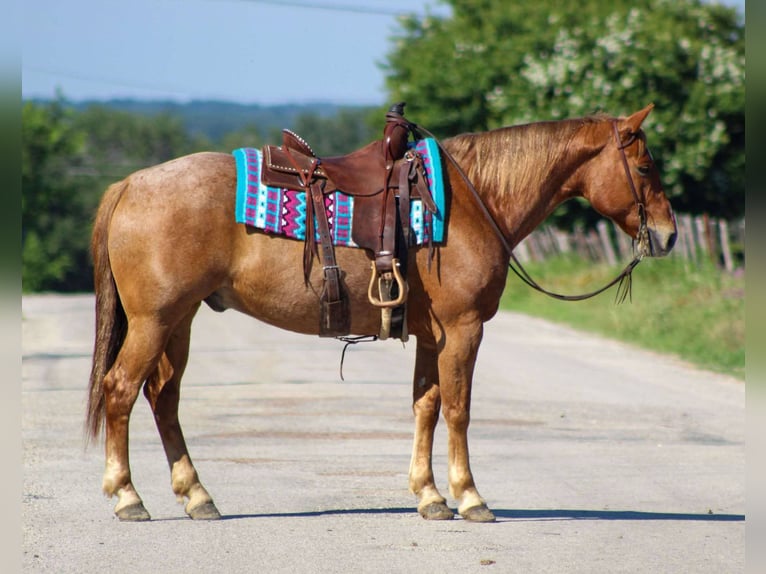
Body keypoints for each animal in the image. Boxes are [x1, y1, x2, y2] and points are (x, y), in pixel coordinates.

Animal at [86, 104, 677, 523]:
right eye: (646, 166)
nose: (668, 235)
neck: (471, 201)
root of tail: (131, 184)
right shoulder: (463, 329)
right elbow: (458, 409)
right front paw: (469, 497)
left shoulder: (433, 336)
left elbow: (426, 406)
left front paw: (429, 495)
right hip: (156, 321)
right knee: (121, 390)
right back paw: (127, 496)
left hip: (179, 321)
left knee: (163, 398)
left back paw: (197, 496)